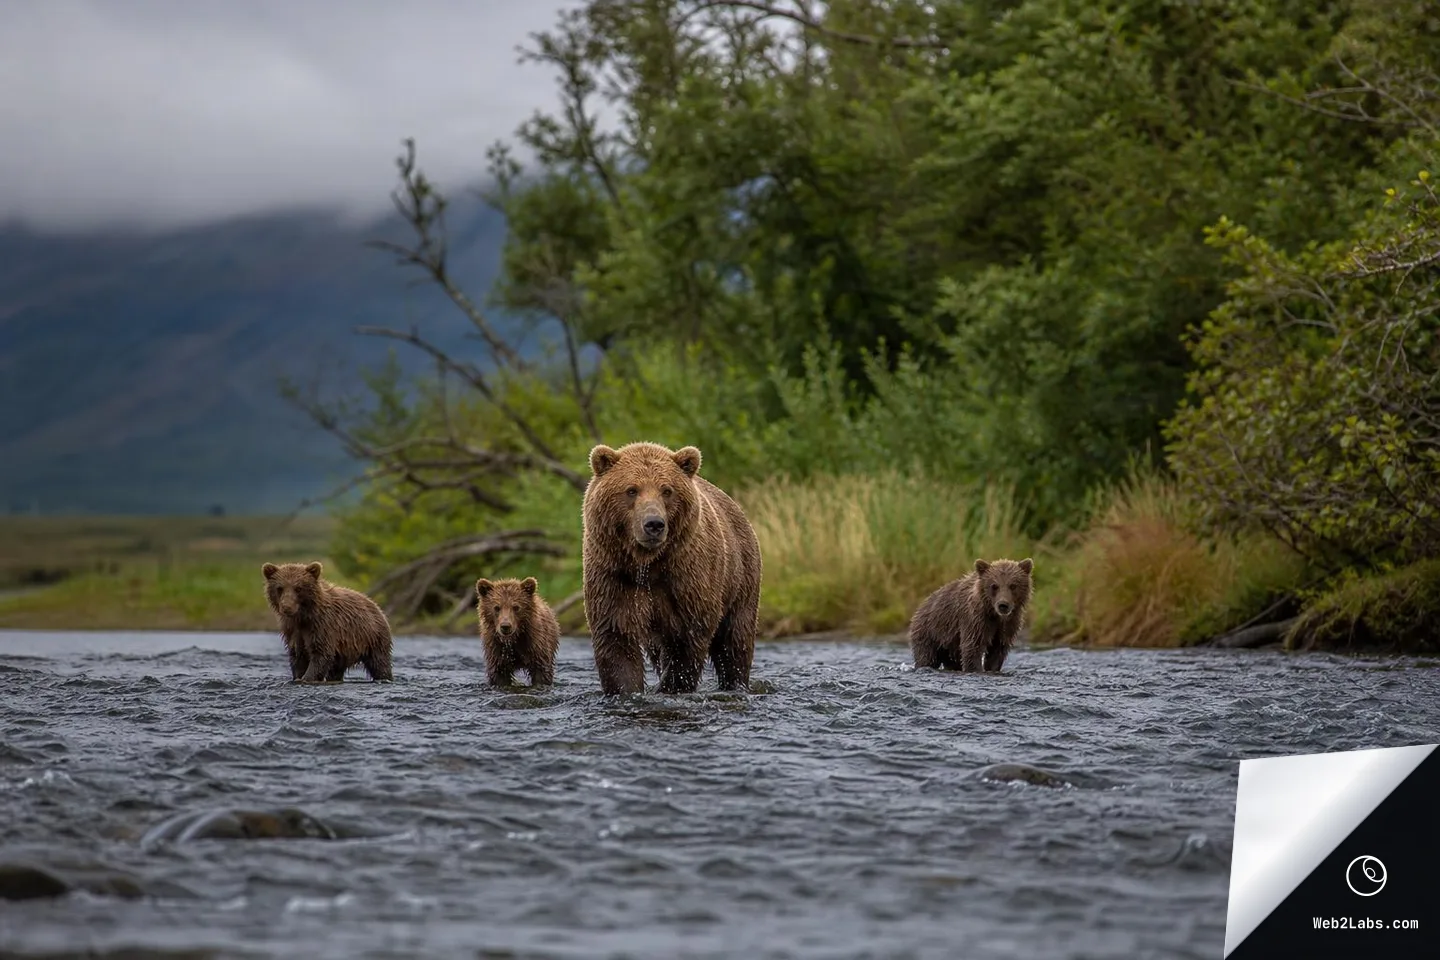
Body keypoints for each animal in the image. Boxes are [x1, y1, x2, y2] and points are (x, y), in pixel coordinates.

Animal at [261, 561, 393, 683]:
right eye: (279, 588)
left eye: (298, 588)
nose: (286, 607)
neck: (303, 617)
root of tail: (375, 604)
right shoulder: (293, 630)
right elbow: (298, 655)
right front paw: (298, 677)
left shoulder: (323, 625)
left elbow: (321, 653)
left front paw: (307, 678)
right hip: (345, 648)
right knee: (336, 669)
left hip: (372, 637)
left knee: (379, 662)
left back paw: (384, 677)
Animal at [581, 441, 763, 696]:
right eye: (631, 490)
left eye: (666, 490)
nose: (654, 524)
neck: (647, 565)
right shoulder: (613, 576)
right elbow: (616, 637)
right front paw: (626, 689)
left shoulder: (687, 578)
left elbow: (687, 640)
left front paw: (672, 686)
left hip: (741, 579)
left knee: (735, 640)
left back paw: (735, 682)